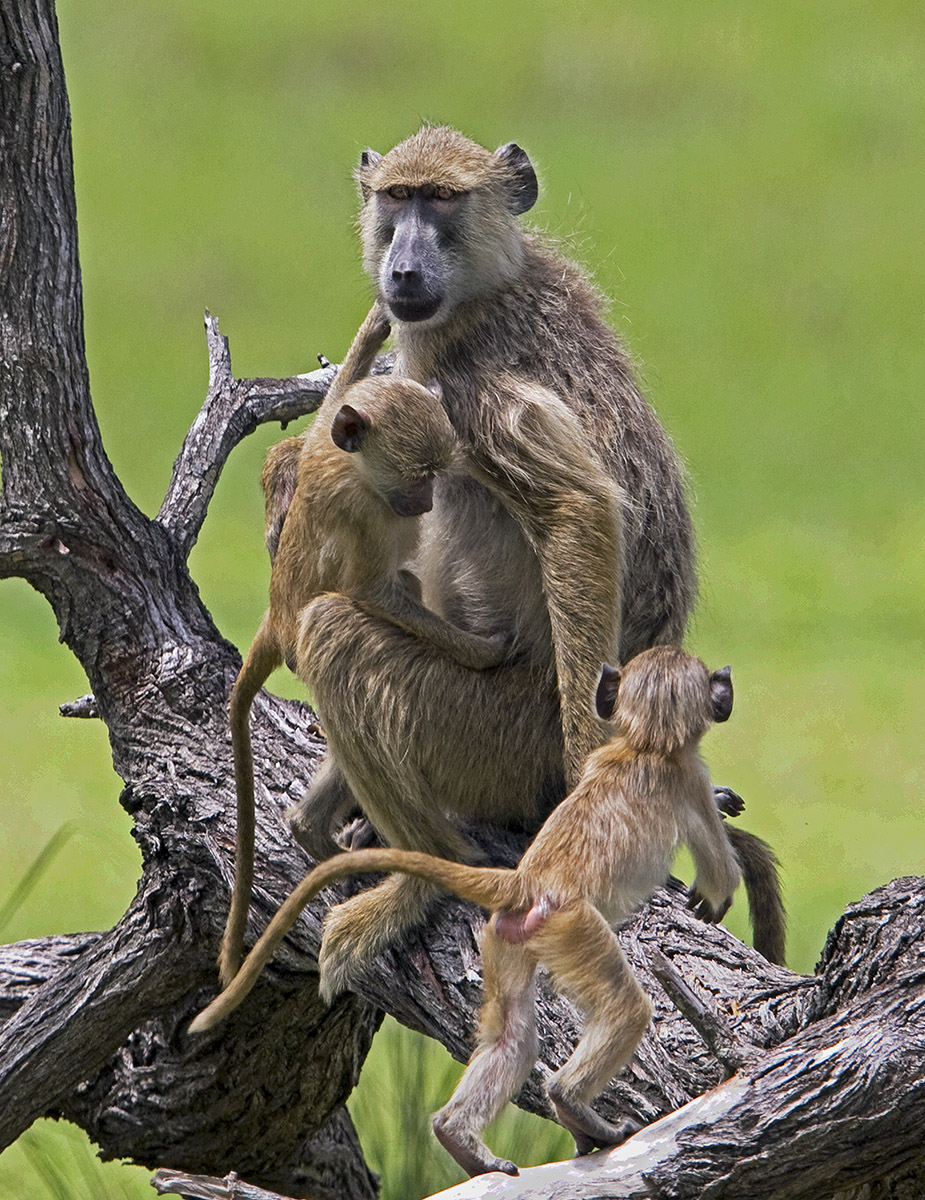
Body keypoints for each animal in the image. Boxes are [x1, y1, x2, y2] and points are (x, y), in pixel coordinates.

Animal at [192, 647, 751, 1176]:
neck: (644, 742)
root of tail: (527, 881)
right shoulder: (688, 776)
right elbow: (720, 869)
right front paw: (712, 901)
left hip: (506, 936)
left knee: (512, 1038)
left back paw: (458, 1135)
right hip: (573, 926)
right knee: (623, 1010)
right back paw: (571, 1103)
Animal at [218, 301, 509, 987]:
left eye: (437, 474)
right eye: (419, 476)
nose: (425, 501)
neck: (354, 468)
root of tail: (278, 618)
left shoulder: (328, 445)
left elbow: (324, 415)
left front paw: (376, 328)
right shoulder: (359, 513)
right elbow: (373, 591)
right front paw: (483, 652)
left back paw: (317, 832)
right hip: (307, 641)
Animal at [269, 126, 784, 993]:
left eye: (441, 200)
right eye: (397, 197)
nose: (402, 270)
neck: (484, 288)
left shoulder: (472, 387)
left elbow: (579, 511)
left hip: (495, 740)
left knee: (336, 634)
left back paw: (412, 875)